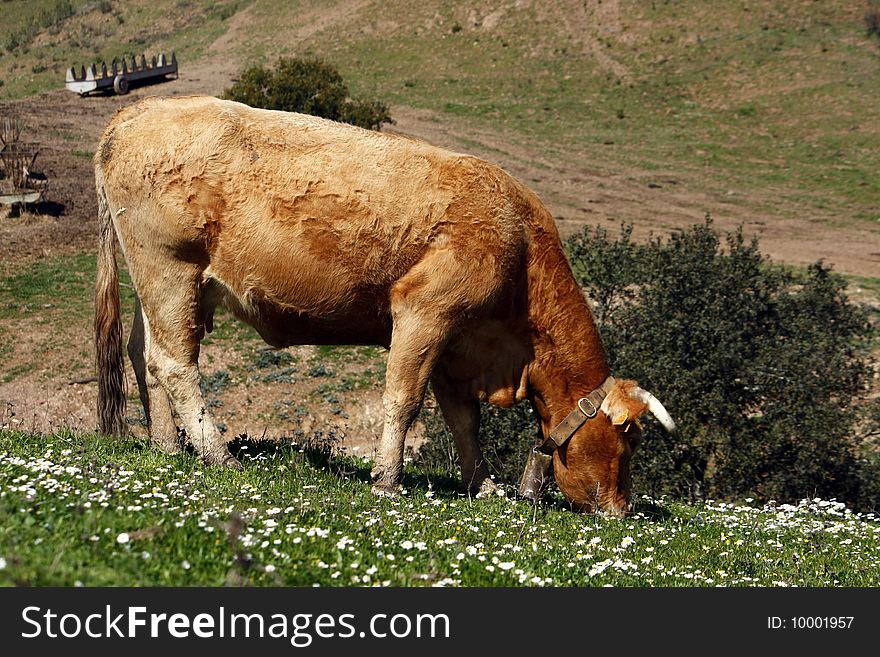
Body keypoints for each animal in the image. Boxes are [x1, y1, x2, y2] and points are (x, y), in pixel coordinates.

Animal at [94, 95, 672, 516]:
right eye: (631, 441)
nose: (622, 508)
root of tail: (139, 110)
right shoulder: (424, 311)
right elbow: (404, 400)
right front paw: (387, 481)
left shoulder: (456, 343)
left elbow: (463, 421)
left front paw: (483, 486)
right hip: (171, 269)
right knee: (175, 365)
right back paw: (218, 455)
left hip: (156, 282)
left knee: (145, 355)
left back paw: (168, 447)